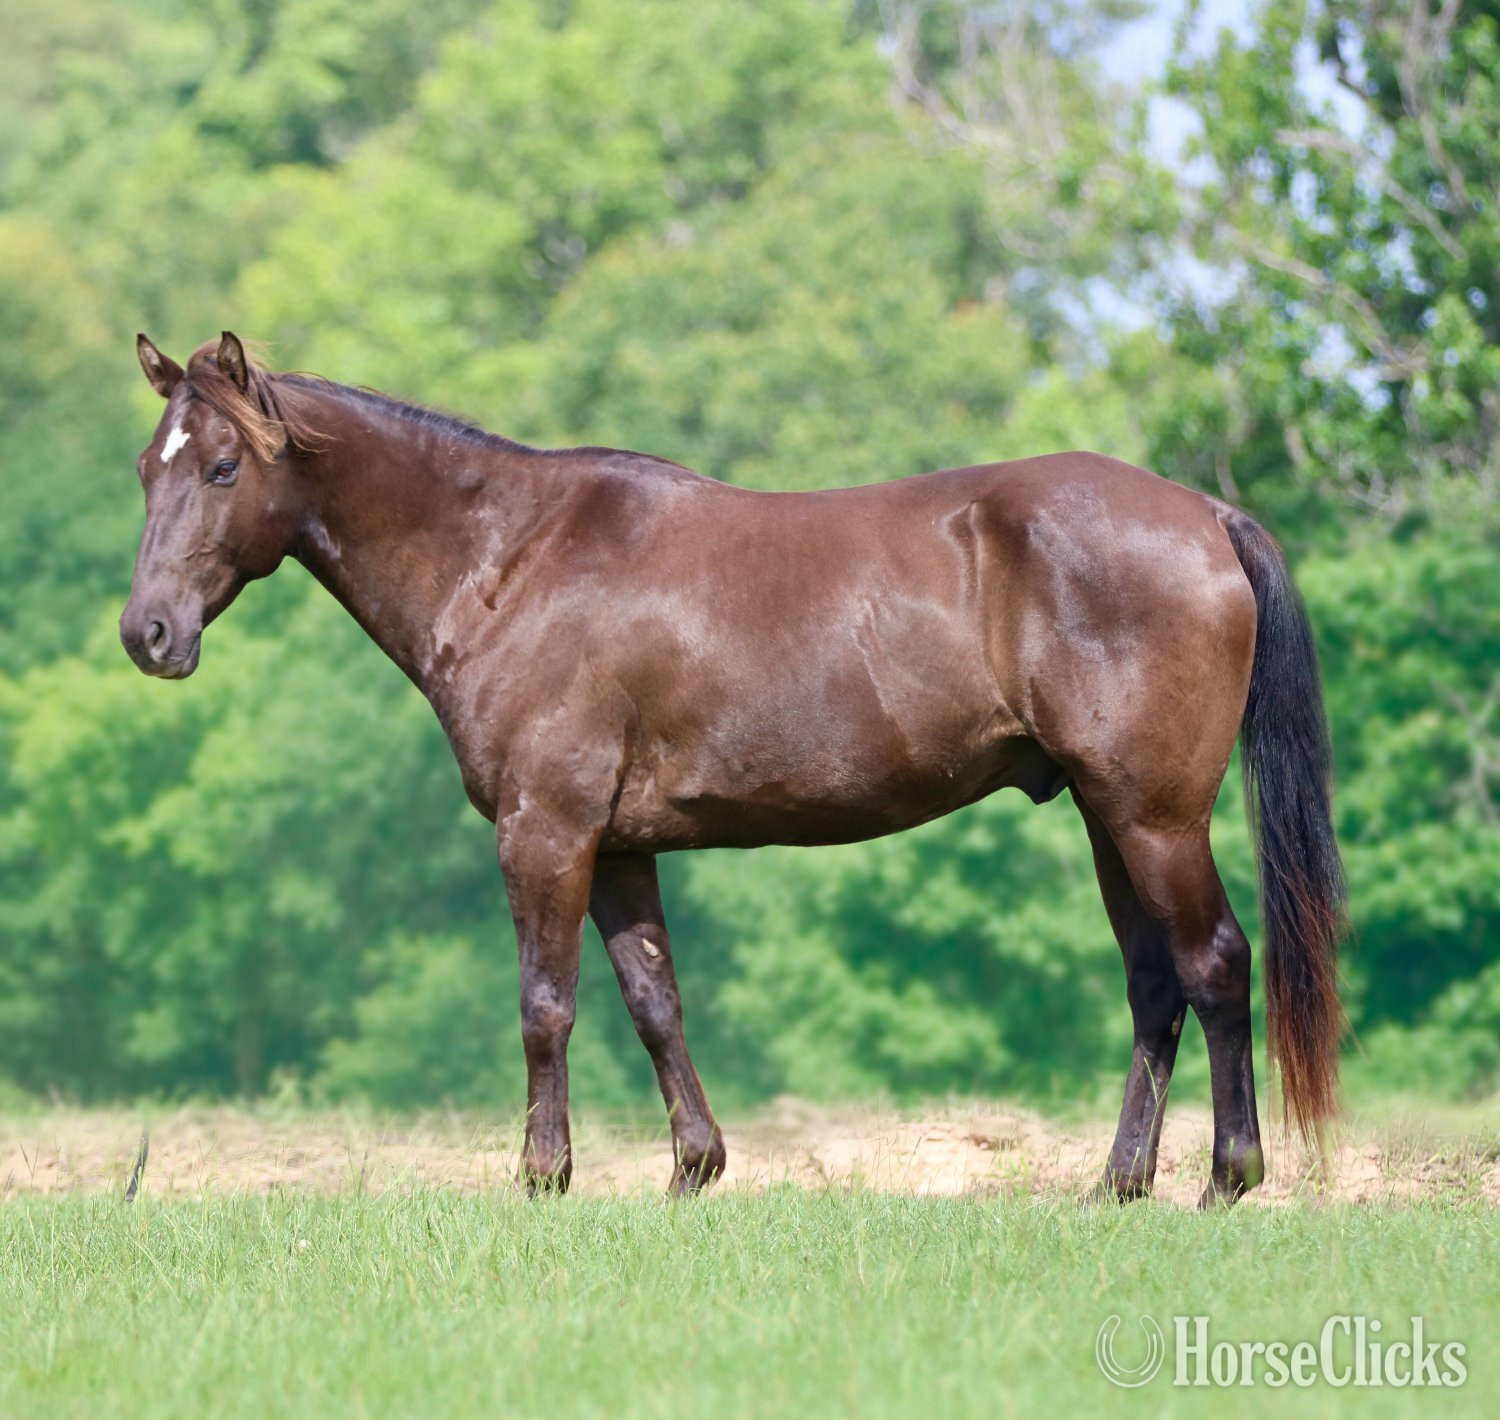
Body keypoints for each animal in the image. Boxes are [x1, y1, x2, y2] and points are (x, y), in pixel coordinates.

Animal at [122, 332, 1346, 1205]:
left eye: (222, 465)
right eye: (147, 468)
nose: (148, 633)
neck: (512, 559)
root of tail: (1206, 514)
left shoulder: (546, 829)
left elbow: (545, 1005)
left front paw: (543, 1176)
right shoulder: (619, 845)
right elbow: (653, 999)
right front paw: (693, 1168)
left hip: (1154, 816)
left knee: (1214, 962)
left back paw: (1227, 1179)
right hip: (1105, 817)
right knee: (1153, 981)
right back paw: (1118, 1184)